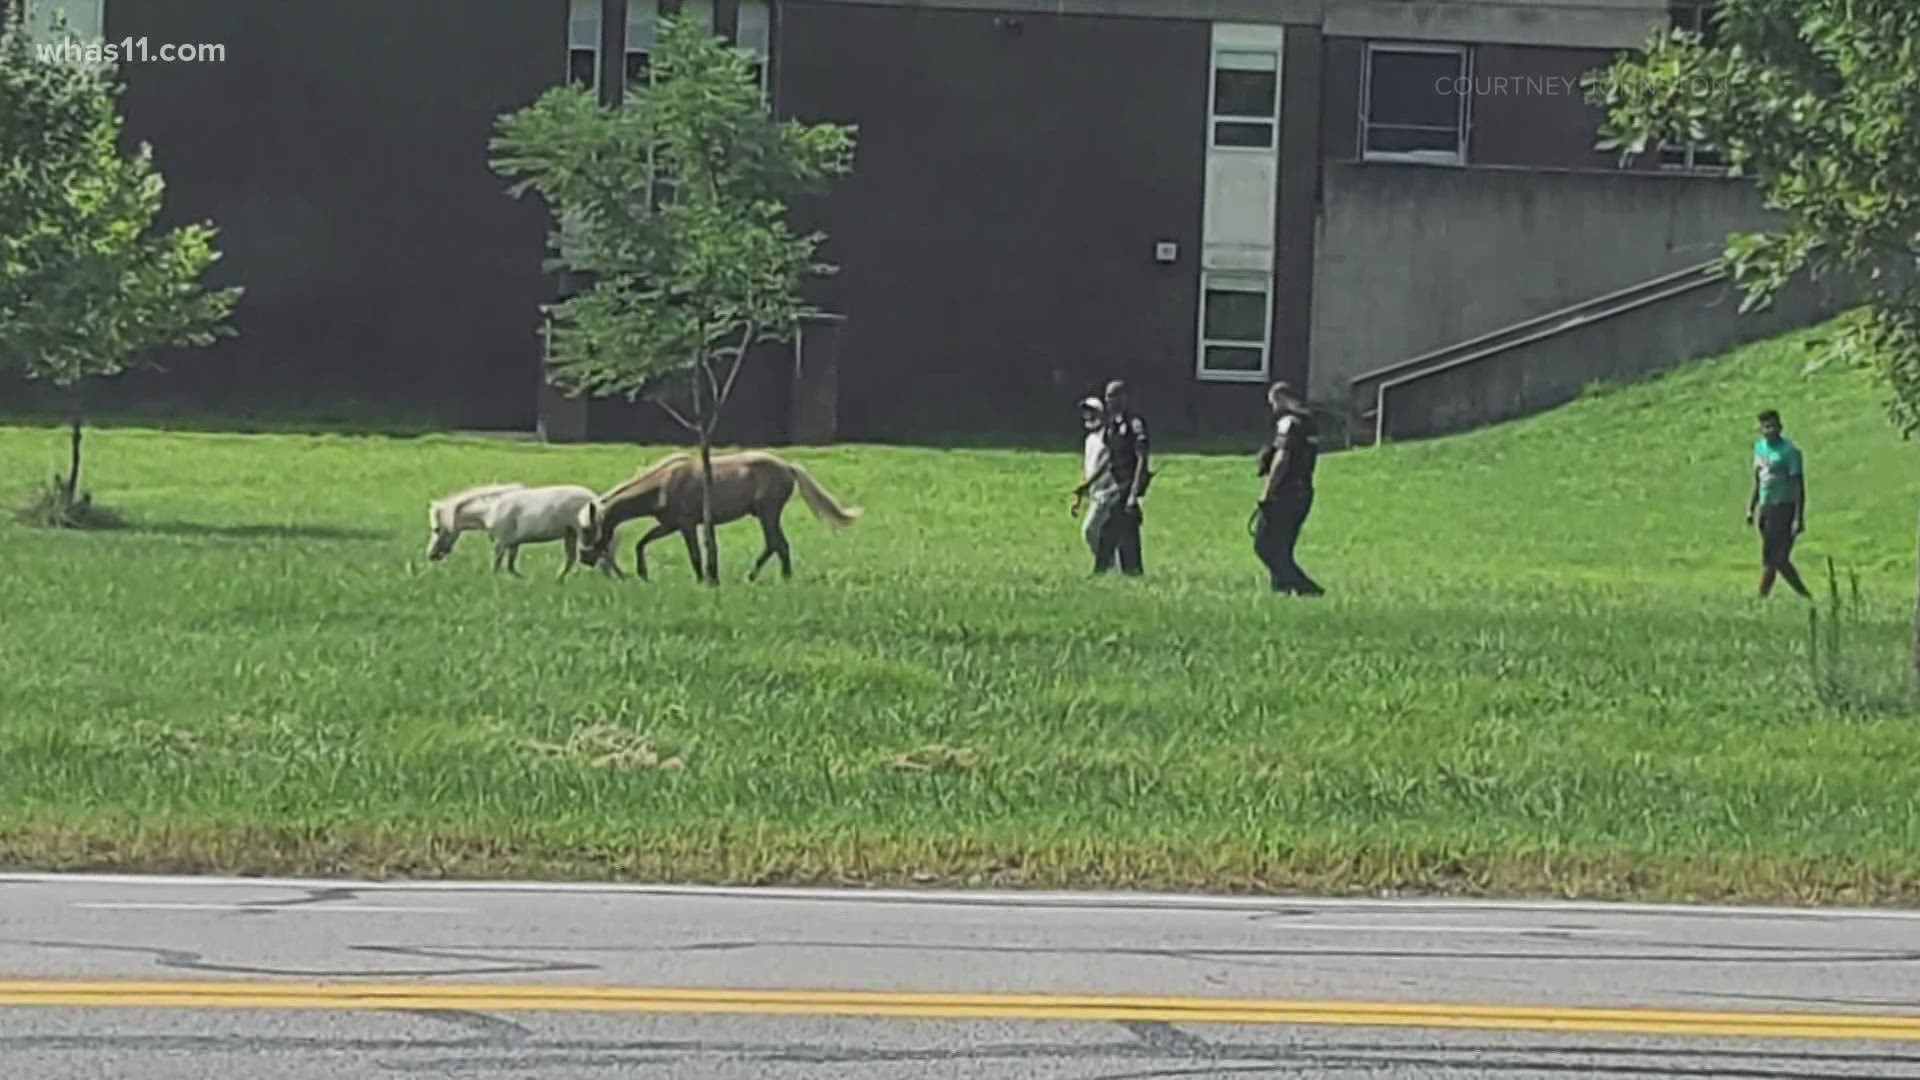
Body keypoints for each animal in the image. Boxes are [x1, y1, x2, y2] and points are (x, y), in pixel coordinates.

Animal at [426, 484, 614, 576]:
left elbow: (496, 567)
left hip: (584, 534)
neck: (491, 510)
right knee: (573, 559)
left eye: (436, 529)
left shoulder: (501, 544)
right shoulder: (513, 544)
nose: (431, 555)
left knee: (600, 556)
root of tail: (595, 500)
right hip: (571, 535)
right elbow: (511, 568)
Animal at [572, 447, 867, 580]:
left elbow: (694, 555)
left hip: (768, 513)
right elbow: (642, 543)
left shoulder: (687, 525)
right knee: (775, 545)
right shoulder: (670, 525)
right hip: (765, 515)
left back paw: (773, 577)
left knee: (777, 544)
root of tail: (787, 466)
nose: (584, 557)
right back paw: (757, 577)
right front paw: (644, 574)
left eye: (588, 529)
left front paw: (703, 580)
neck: (663, 483)